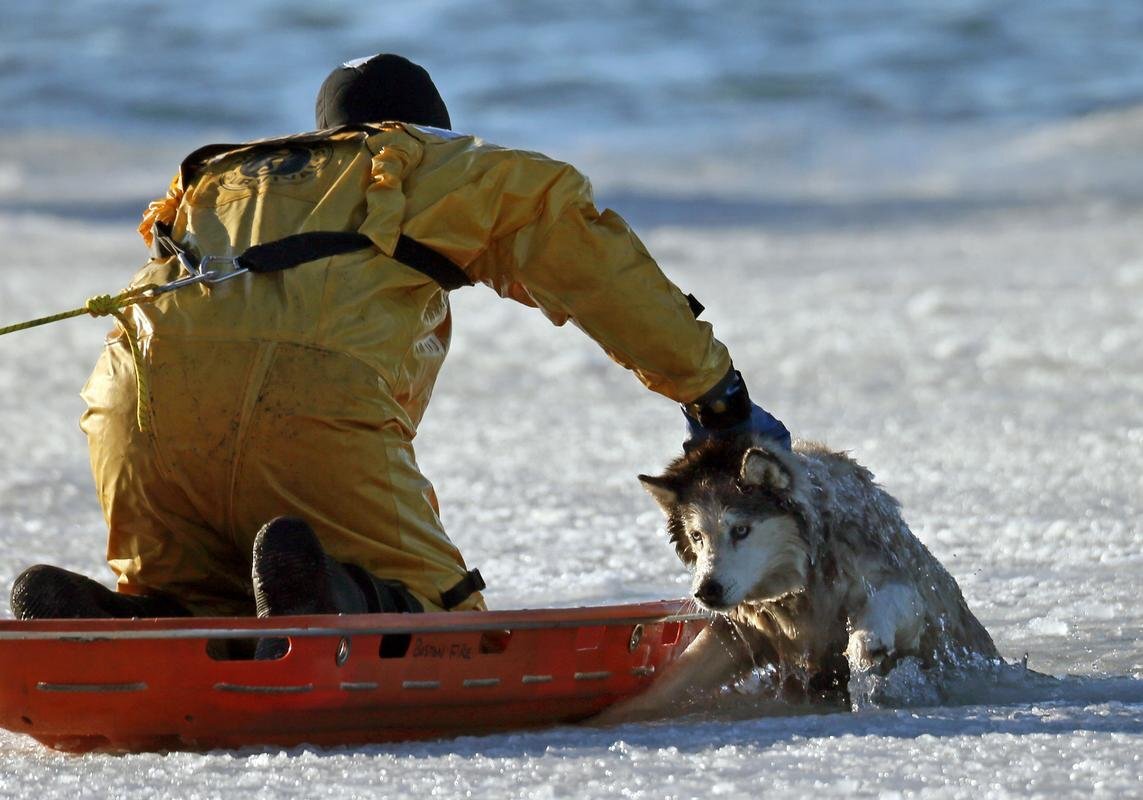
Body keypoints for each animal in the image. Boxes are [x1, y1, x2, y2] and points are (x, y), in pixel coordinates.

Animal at [608, 436, 992, 717]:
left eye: (741, 530)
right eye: (697, 536)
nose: (706, 591)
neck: (801, 590)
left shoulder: (901, 589)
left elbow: (887, 605)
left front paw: (865, 644)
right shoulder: (742, 631)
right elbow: (671, 683)